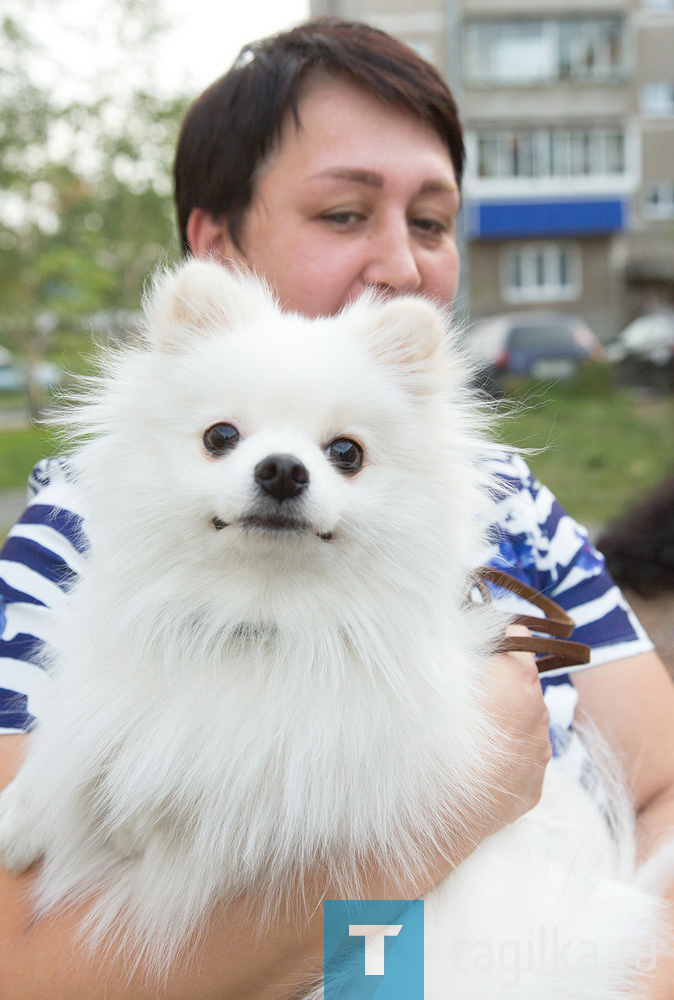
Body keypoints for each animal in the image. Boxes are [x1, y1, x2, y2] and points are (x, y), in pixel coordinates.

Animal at [0, 258, 668, 992]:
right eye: (220, 437)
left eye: (346, 452)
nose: (282, 470)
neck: (262, 616)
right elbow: (75, 751)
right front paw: (27, 816)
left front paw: (140, 822)